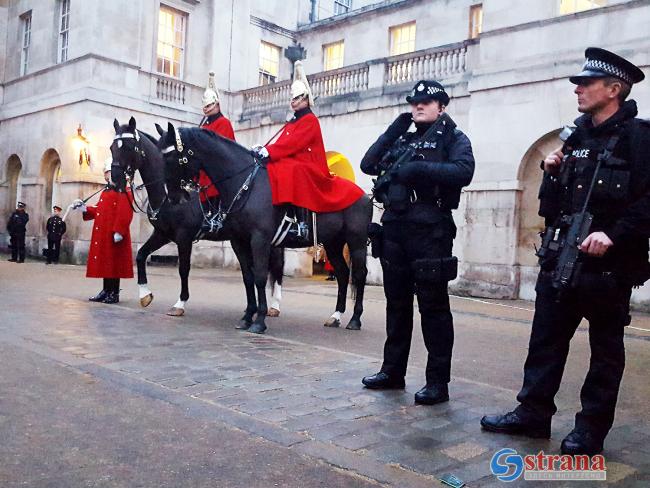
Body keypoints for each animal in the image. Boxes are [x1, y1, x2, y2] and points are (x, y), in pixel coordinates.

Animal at [109, 117, 284, 316]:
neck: (165, 194)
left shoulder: (184, 237)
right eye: (112, 148)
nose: (115, 180)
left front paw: (180, 303)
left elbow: (183, 269)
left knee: (277, 267)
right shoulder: (162, 234)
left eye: (129, 147)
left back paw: (274, 305)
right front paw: (145, 295)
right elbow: (140, 255)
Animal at [155, 122, 372, 336]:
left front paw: (259, 320)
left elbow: (259, 276)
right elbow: (248, 277)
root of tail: (364, 195)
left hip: (357, 242)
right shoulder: (239, 241)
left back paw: (355, 319)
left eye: (171, 157)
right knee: (343, 274)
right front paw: (246, 317)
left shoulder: (259, 239)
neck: (246, 184)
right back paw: (336, 316)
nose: (174, 198)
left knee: (359, 274)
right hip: (333, 243)